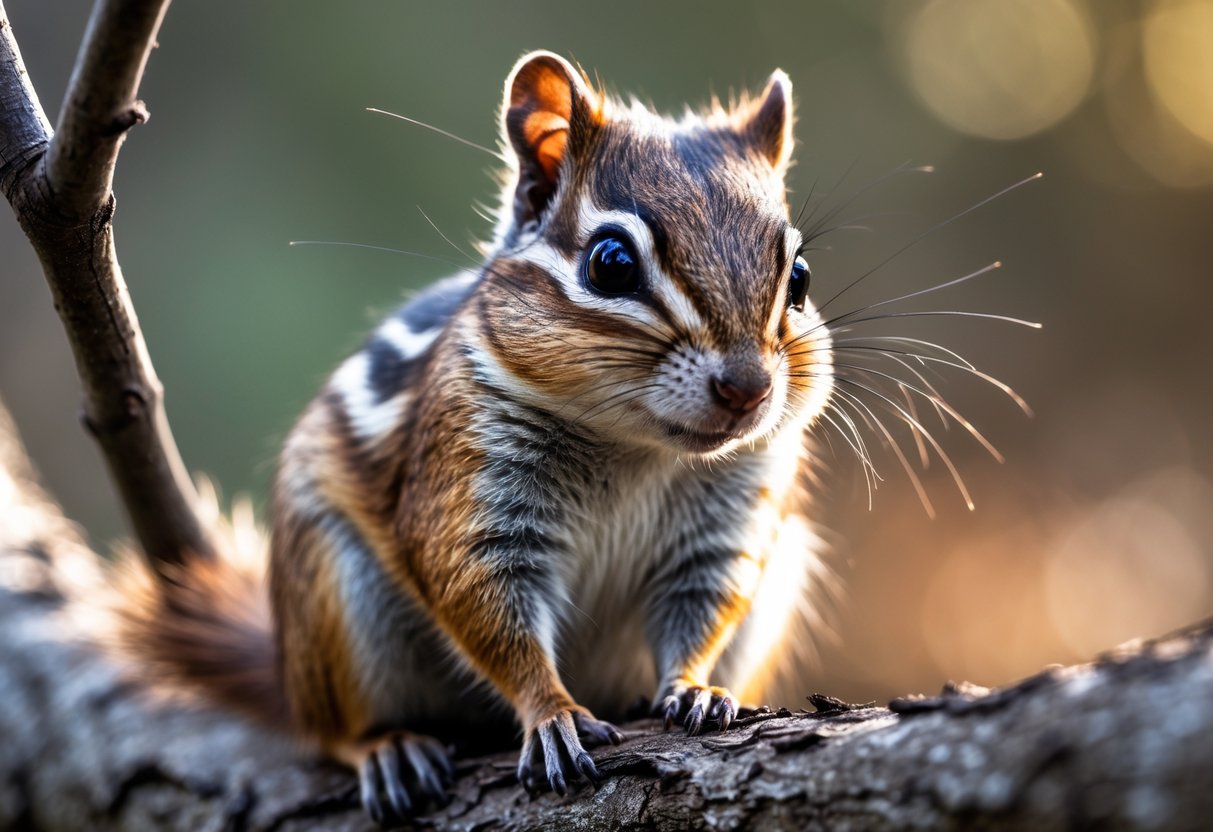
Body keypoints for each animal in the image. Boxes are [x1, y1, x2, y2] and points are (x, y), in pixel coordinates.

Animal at [115, 51, 835, 825]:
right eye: (610, 262)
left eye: (799, 276)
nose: (747, 387)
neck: (637, 448)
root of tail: (285, 669)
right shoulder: (470, 484)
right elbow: (487, 607)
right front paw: (552, 714)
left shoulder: (725, 518)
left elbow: (704, 605)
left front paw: (696, 686)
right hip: (333, 600)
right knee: (328, 733)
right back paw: (386, 748)